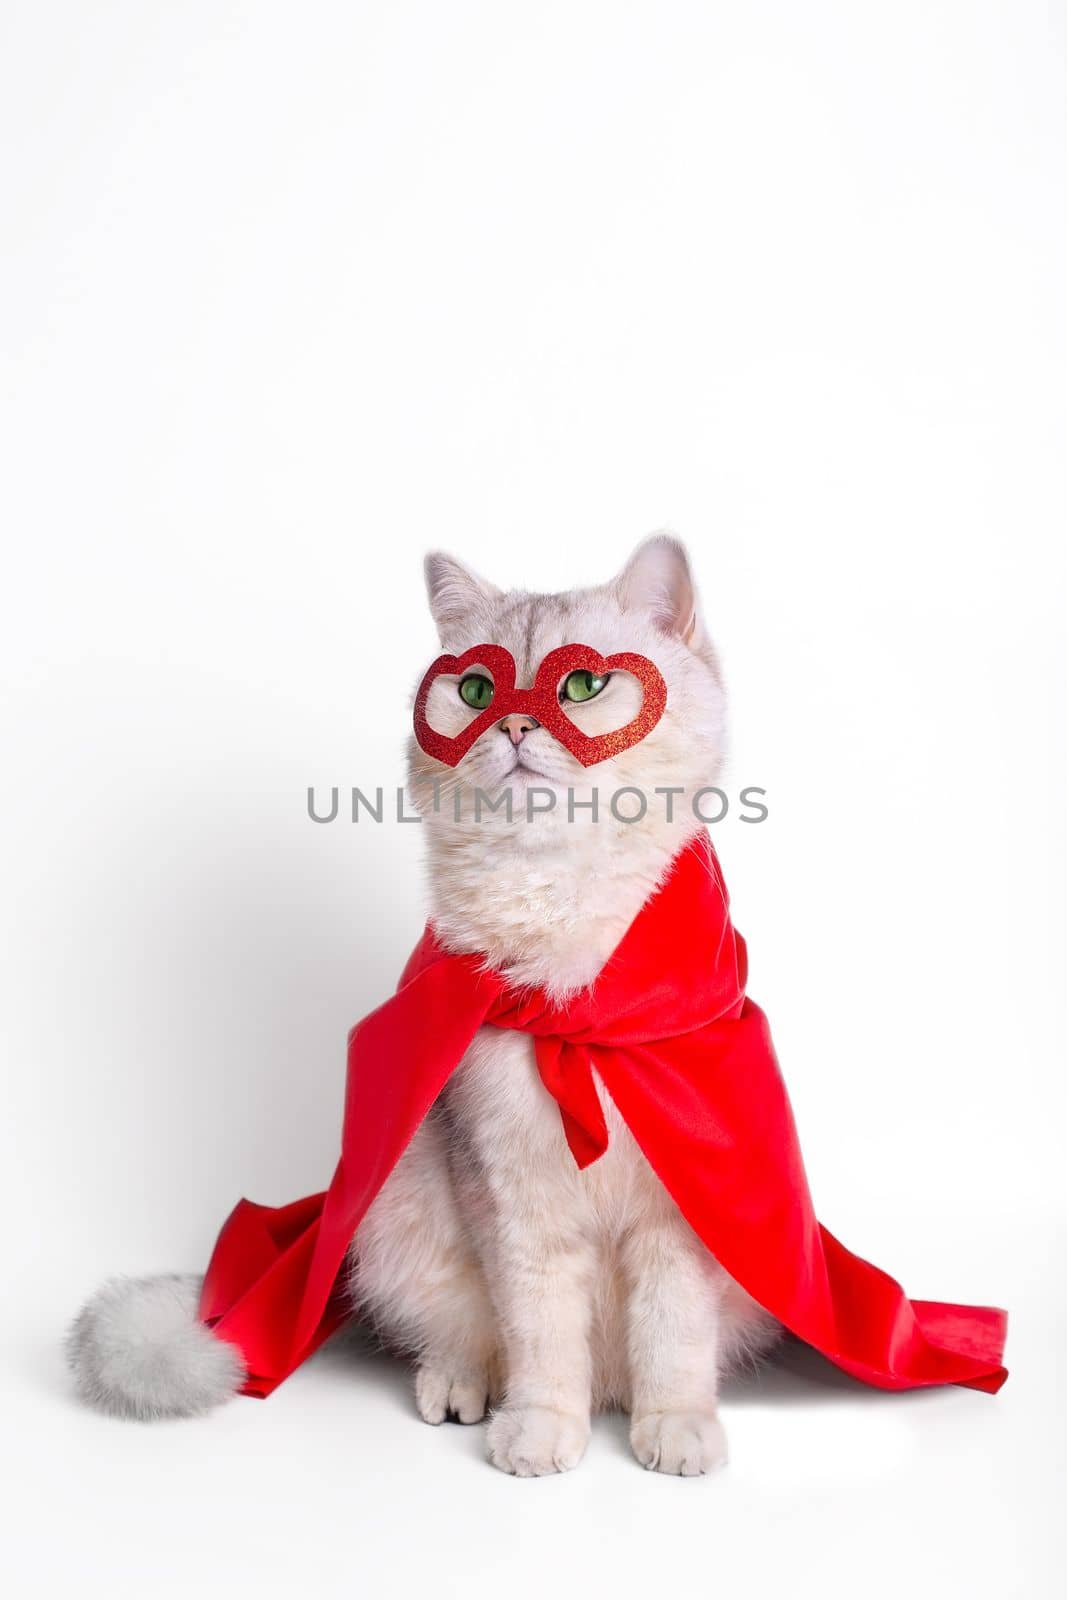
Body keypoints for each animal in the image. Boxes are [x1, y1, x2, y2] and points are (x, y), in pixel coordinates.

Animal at [70, 537, 780, 1472]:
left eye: (581, 685)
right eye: (476, 691)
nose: (513, 728)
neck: (570, 1011)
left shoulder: (684, 1211)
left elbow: (673, 1338)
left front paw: (675, 1428)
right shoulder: (510, 1201)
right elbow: (539, 1338)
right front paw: (541, 1431)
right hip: (400, 1210)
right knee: (461, 1335)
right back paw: (462, 1389)